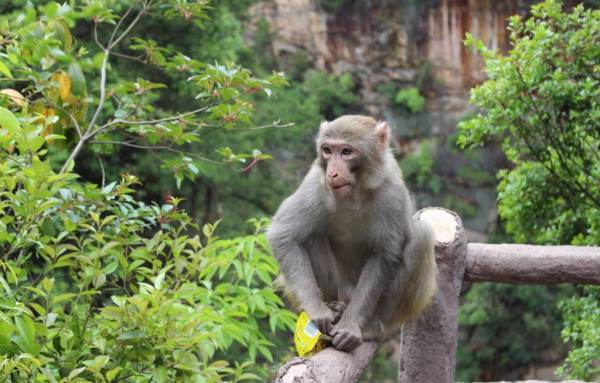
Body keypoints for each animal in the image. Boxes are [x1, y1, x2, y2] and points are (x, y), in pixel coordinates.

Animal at [268, 115, 436, 352]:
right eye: (327, 150)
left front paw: (351, 326)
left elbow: (385, 256)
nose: (333, 172)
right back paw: (333, 307)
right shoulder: (315, 184)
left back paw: (372, 326)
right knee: (311, 233)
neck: (354, 192)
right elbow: (284, 236)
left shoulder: (392, 193)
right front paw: (317, 310)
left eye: (347, 152)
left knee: (420, 235)